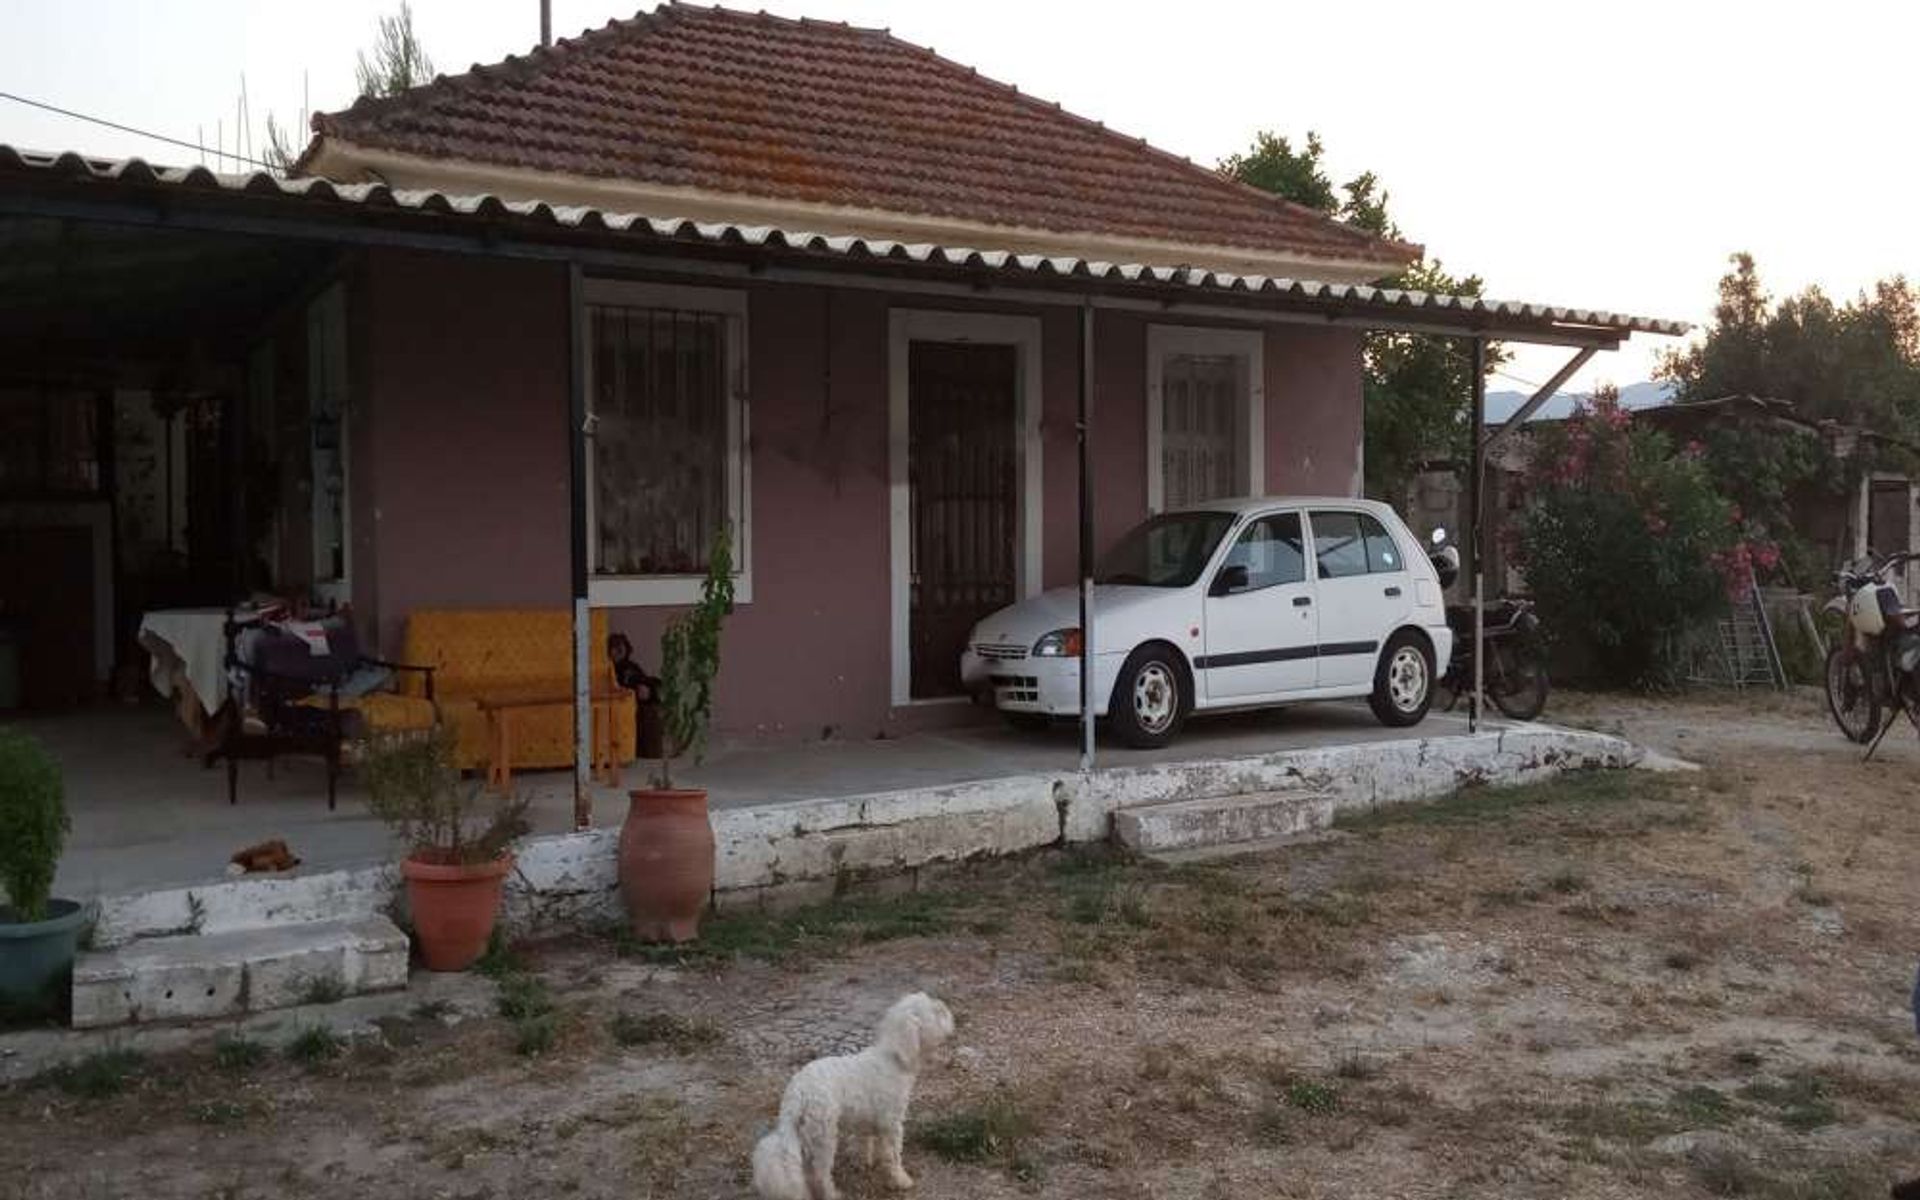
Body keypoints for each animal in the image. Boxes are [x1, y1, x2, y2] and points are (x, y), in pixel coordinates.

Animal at [752, 990, 956, 1198]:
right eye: (936, 1012)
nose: (944, 1005)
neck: (894, 1058)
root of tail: (797, 1092)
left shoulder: (866, 1120)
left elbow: (865, 1143)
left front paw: (865, 1162)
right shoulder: (891, 1123)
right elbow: (893, 1155)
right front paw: (900, 1180)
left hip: (806, 1133)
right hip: (824, 1136)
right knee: (820, 1173)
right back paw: (832, 1194)